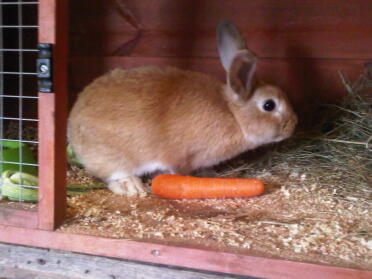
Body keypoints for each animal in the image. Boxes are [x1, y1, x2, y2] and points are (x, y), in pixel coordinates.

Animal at [68, 21, 298, 196]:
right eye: (269, 105)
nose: (293, 125)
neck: (234, 114)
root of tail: (73, 127)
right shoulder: (181, 157)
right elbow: (177, 169)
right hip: (115, 158)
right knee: (114, 174)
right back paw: (131, 186)